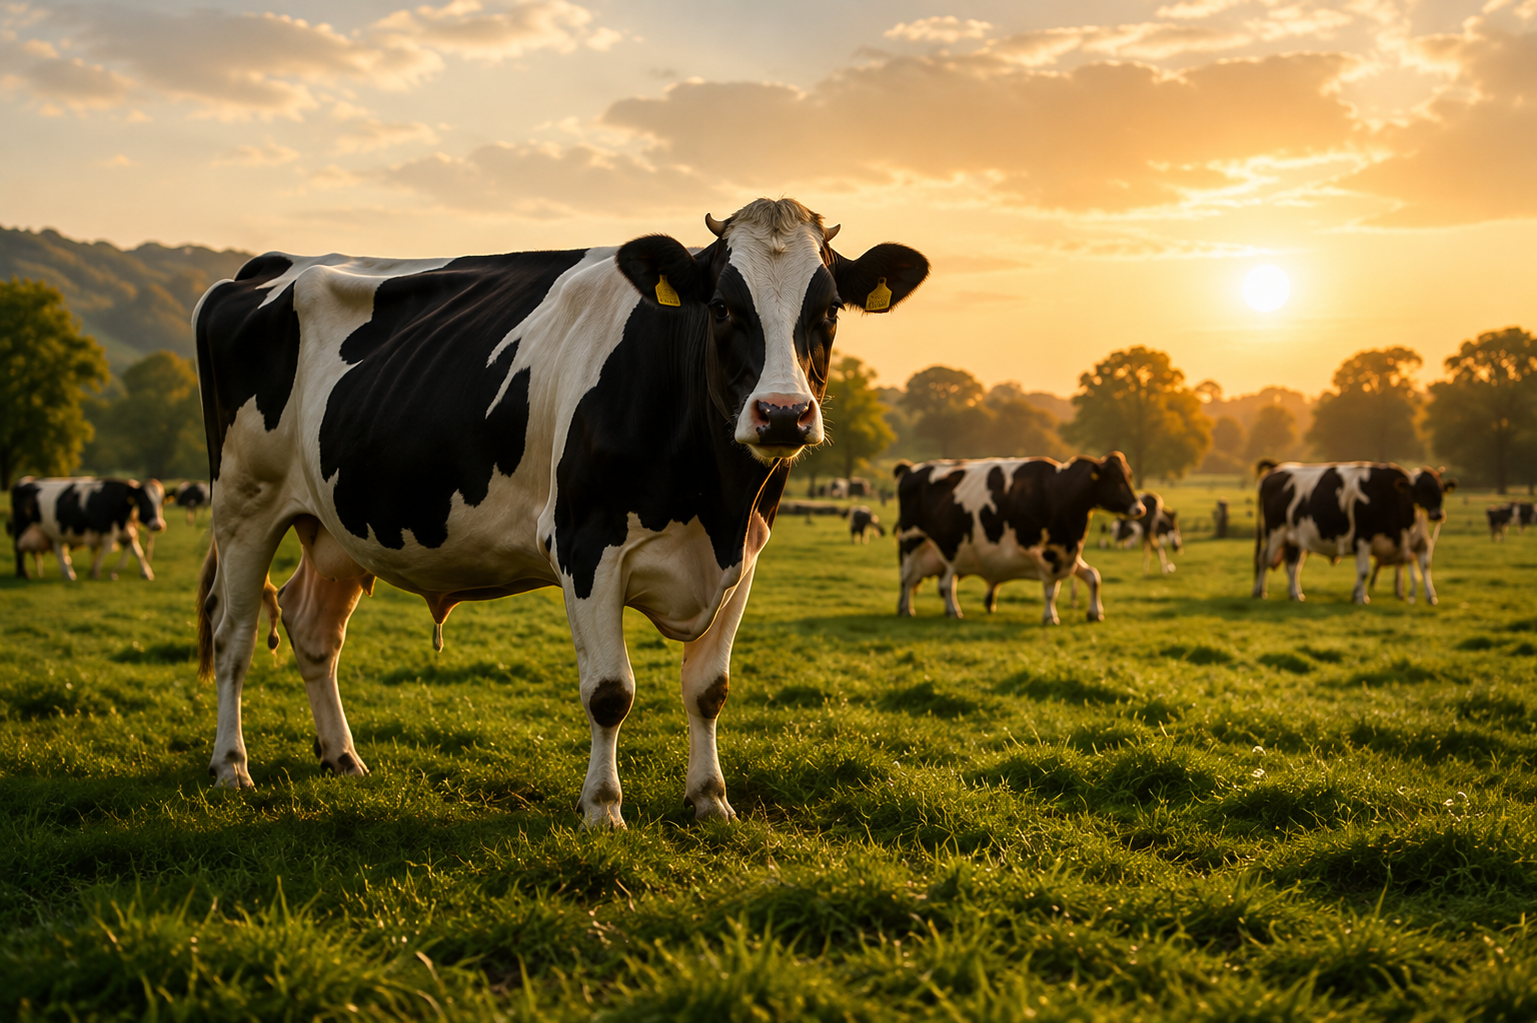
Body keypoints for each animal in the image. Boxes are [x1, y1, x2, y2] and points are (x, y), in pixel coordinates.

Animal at [9, 476, 166, 580]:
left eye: (161, 503)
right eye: (144, 501)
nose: (158, 525)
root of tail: (24, 481)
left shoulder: (126, 532)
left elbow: (138, 552)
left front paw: (146, 573)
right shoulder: (106, 531)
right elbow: (105, 551)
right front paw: (94, 572)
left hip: (53, 532)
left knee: (59, 551)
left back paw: (68, 574)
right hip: (20, 528)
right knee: (18, 549)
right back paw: (23, 574)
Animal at [190, 197, 928, 829]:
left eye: (829, 311)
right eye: (721, 306)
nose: (782, 414)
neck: (714, 498)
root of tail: (274, 263)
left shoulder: (742, 555)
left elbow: (708, 689)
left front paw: (711, 800)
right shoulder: (586, 543)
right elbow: (610, 691)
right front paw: (602, 808)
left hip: (335, 525)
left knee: (312, 627)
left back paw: (342, 758)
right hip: (244, 502)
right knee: (234, 633)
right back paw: (231, 766)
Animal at [893, 454, 1143, 624]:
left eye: (1129, 476)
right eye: (1117, 479)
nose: (1139, 508)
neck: (1059, 491)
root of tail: (911, 469)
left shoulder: (1065, 551)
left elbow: (1093, 576)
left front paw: (1094, 612)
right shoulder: (1044, 552)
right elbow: (1051, 588)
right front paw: (1050, 616)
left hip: (946, 551)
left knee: (945, 584)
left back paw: (952, 611)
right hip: (911, 539)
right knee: (907, 578)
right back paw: (905, 609)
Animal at [1252, 460, 1455, 604]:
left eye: (1440, 489)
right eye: (1420, 490)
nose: (1437, 514)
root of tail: (1274, 471)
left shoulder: (1420, 543)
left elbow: (1425, 566)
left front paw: (1431, 597)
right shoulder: (1363, 538)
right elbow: (1364, 571)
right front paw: (1361, 598)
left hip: (1294, 539)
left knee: (1292, 567)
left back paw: (1296, 595)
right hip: (1275, 532)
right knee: (1264, 559)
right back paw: (1260, 592)